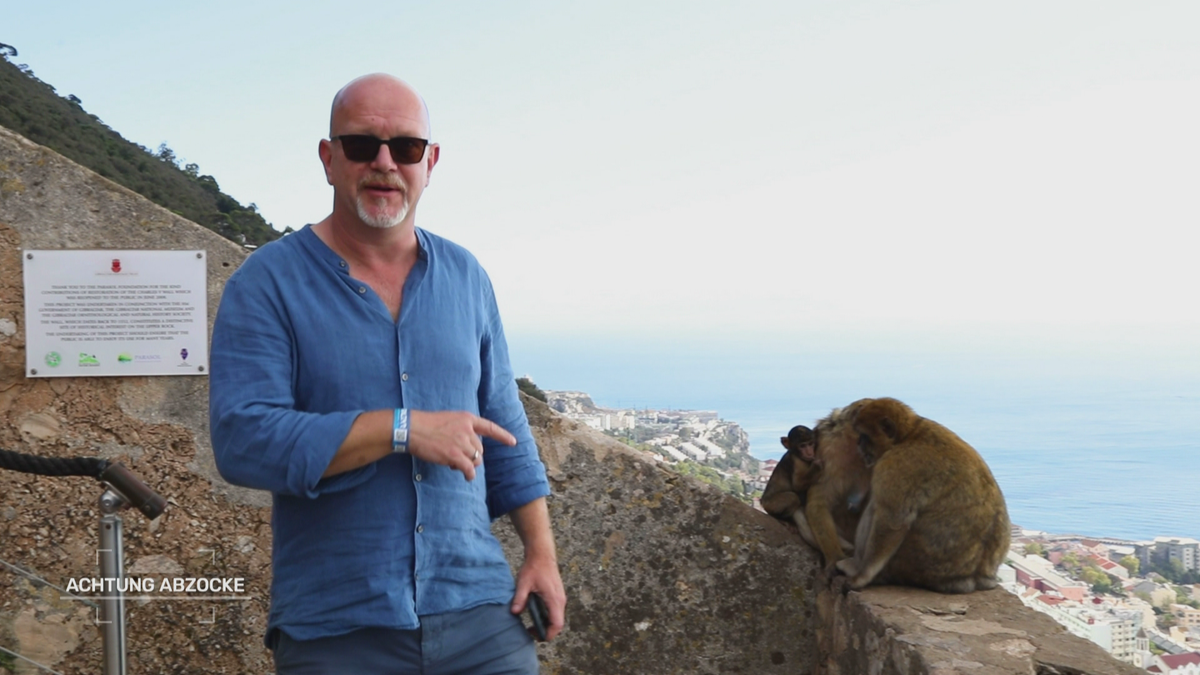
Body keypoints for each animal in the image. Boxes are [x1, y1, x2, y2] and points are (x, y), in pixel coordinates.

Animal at [835, 396, 1012, 590]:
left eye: (864, 436)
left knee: (877, 508)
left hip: (913, 565)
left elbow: (893, 521)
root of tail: (973, 578)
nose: (859, 444)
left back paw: (856, 567)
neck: (908, 436)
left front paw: (861, 577)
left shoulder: (896, 466)